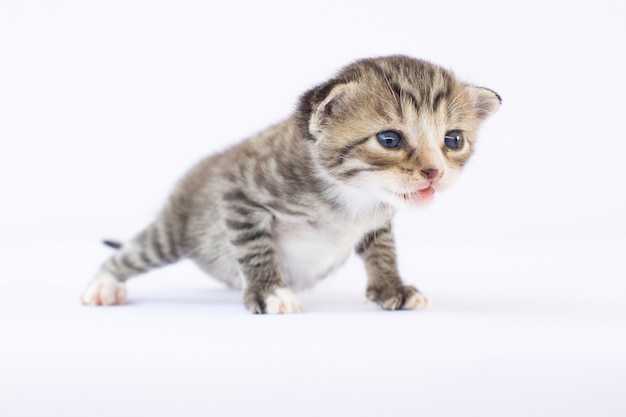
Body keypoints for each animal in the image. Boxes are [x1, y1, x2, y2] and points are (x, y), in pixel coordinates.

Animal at [80, 57, 500, 314]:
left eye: (453, 140)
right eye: (390, 139)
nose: (434, 172)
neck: (352, 195)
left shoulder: (377, 219)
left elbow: (383, 250)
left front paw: (392, 287)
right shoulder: (239, 194)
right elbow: (255, 247)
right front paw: (268, 290)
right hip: (178, 229)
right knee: (135, 251)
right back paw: (103, 286)